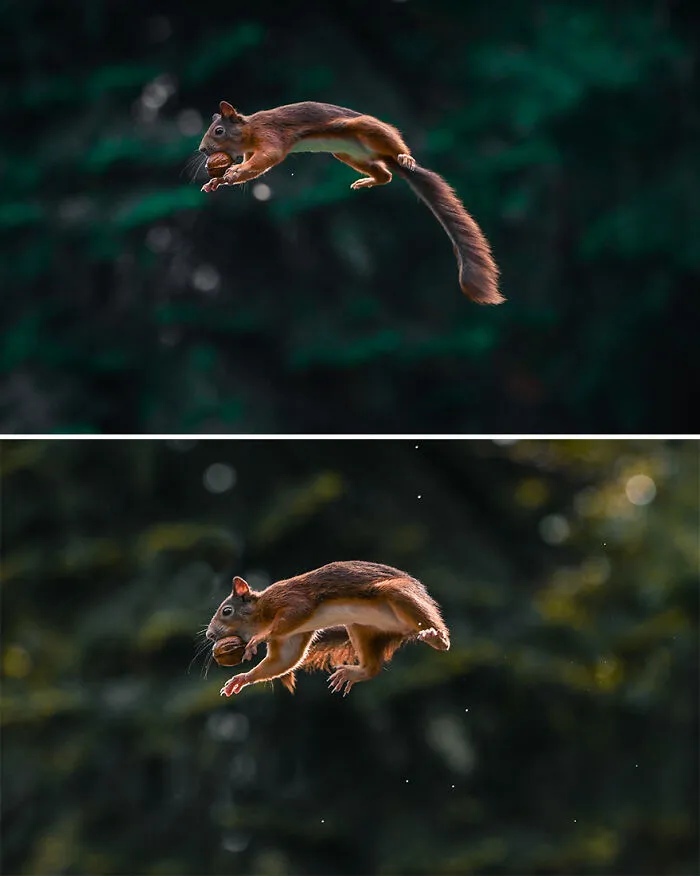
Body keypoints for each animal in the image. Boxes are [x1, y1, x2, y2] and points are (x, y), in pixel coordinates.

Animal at [198, 101, 503, 304]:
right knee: (385, 174)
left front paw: (233, 171)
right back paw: (369, 180)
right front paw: (218, 180)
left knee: (395, 149)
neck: (249, 130)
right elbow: (253, 167)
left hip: (365, 128)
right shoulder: (252, 150)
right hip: (346, 153)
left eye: (219, 131)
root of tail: (385, 155)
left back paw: (405, 157)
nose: (201, 150)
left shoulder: (269, 136)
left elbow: (266, 159)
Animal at [205, 560, 451, 696]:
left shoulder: (289, 598)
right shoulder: (291, 637)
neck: (260, 614)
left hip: (398, 593)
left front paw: (259, 638)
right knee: (372, 668)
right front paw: (242, 678)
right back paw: (357, 672)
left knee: (439, 636)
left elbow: (296, 611)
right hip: (361, 627)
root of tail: (406, 631)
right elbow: (284, 660)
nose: (209, 635)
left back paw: (435, 636)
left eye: (226, 611)